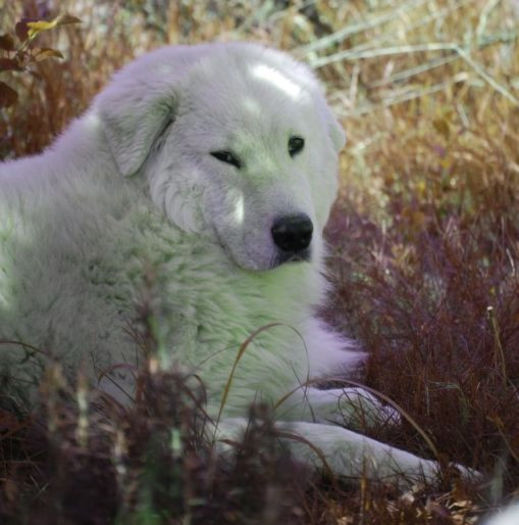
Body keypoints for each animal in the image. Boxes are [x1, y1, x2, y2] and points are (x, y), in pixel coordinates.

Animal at [0, 43, 468, 486]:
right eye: (225, 156)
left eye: (295, 145)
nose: (296, 233)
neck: (163, 229)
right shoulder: (165, 423)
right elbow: (331, 441)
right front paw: (435, 474)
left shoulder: (244, 375)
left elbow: (320, 400)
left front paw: (380, 413)